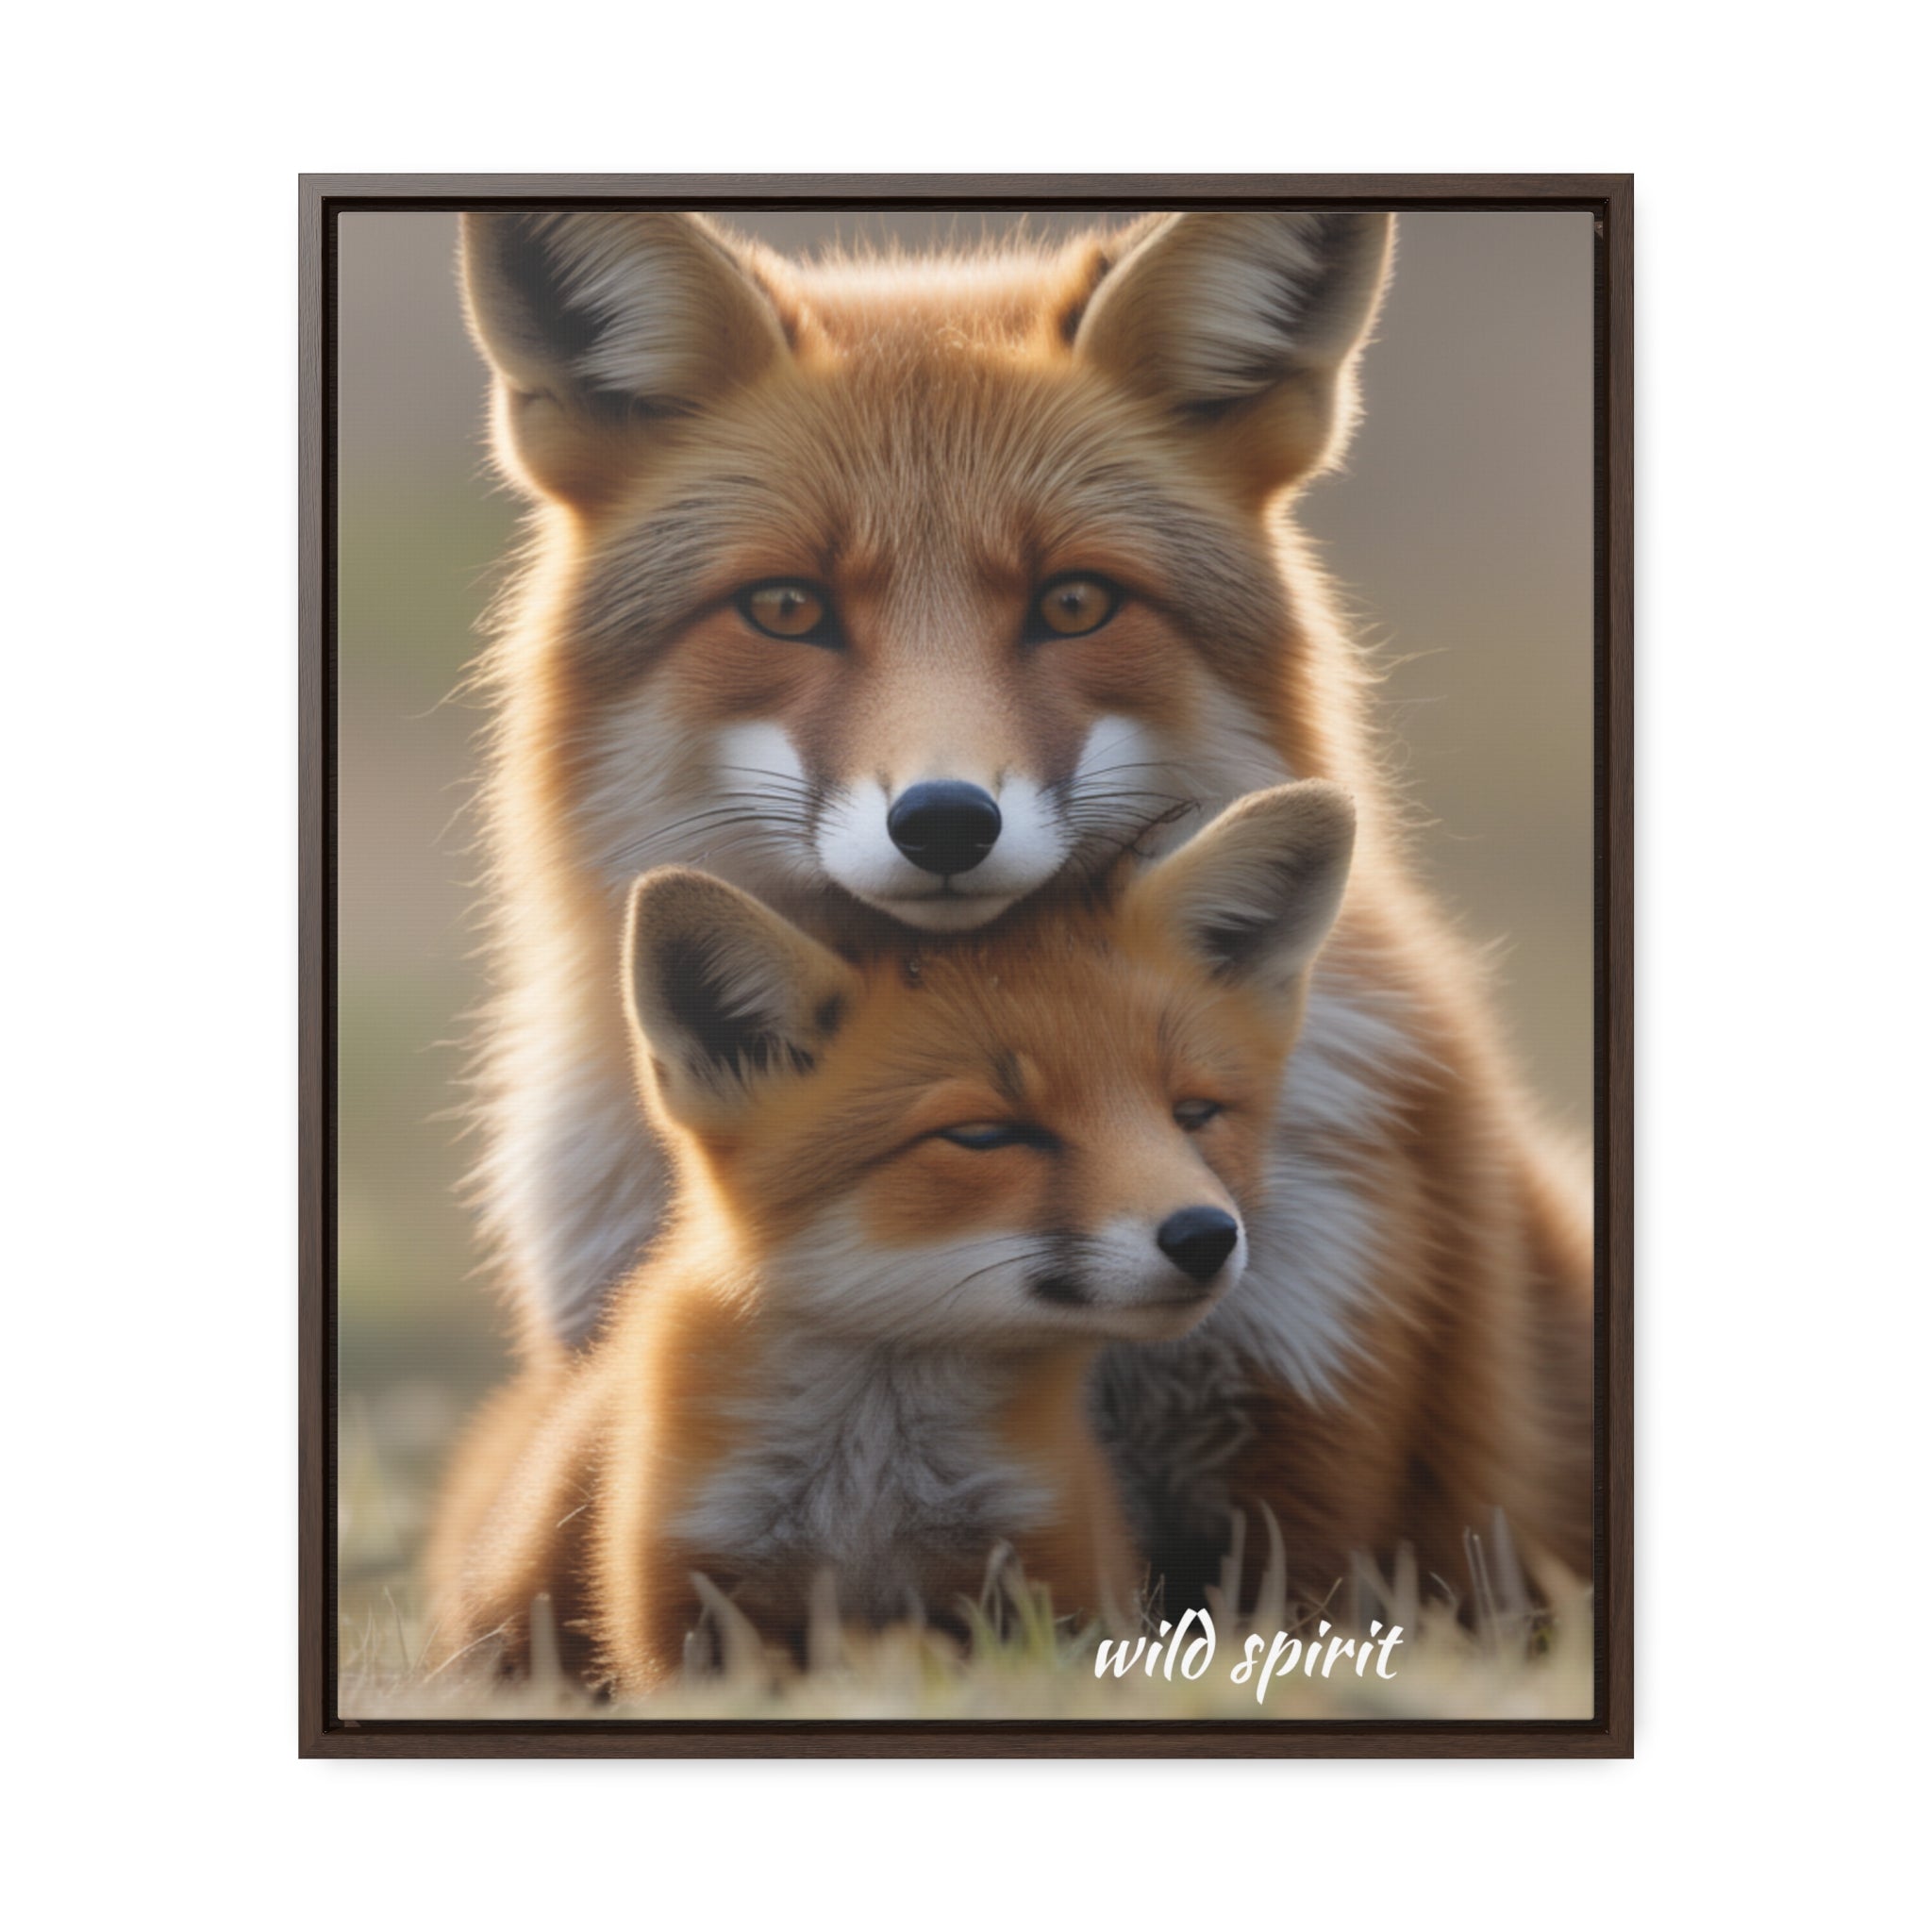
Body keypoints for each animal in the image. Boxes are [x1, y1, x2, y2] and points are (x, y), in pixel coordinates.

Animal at [425, 783, 1358, 1692]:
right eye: (986, 1135)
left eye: (1194, 1114)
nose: (1206, 1236)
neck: (870, 1489)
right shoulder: (686, 1603)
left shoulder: (1051, 1576)